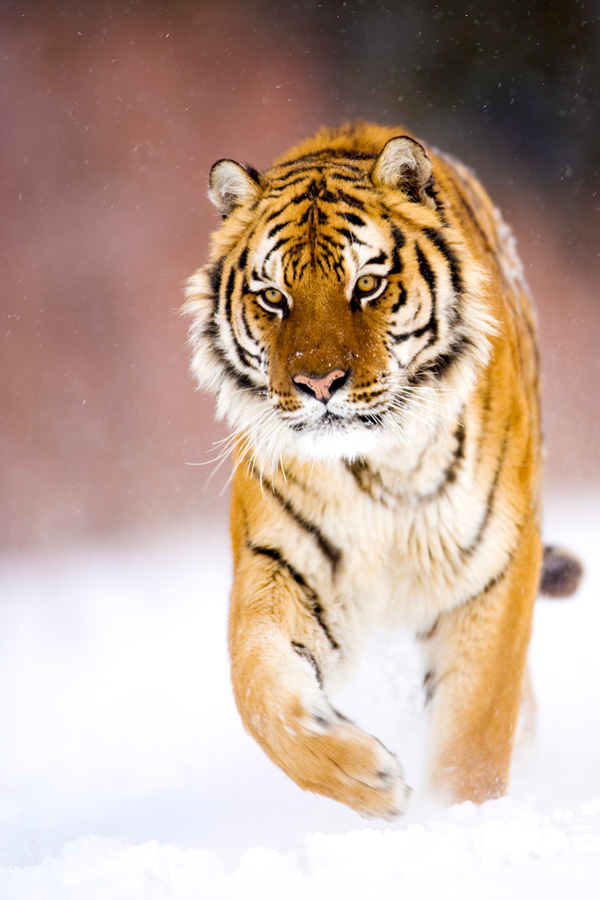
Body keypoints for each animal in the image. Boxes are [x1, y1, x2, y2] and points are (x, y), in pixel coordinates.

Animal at [183, 122, 581, 819]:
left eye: (366, 285)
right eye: (273, 297)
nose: (319, 384)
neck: (378, 466)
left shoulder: (491, 571)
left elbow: (474, 736)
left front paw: (454, 820)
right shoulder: (283, 561)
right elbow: (257, 685)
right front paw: (368, 778)